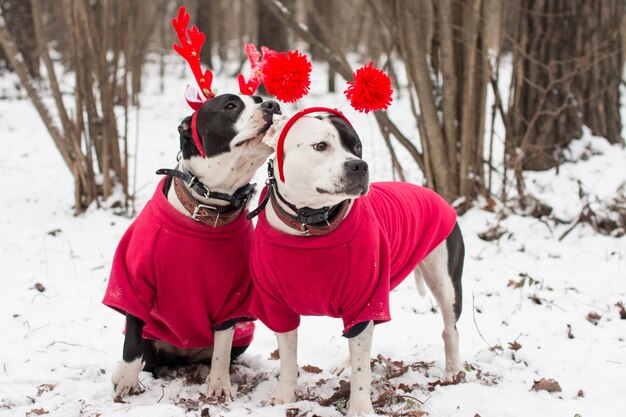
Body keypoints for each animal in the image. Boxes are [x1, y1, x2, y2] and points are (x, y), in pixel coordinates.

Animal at [102, 92, 280, 398]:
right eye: (230, 106)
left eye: (258, 98)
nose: (272, 105)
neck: (208, 209)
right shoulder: (134, 280)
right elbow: (132, 342)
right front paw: (125, 381)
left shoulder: (234, 296)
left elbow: (222, 345)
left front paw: (219, 386)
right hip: (154, 337)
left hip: (245, 333)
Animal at [249, 111, 464, 416]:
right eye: (321, 146)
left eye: (357, 147)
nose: (359, 165)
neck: (310, 223)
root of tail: (431, 192)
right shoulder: (276, 305)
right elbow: (288, 358)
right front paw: (282, 398)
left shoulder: (365, 297)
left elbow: (363, 369)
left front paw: (360, 408)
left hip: (444, 281)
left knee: (449, 328)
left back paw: (454, 371)